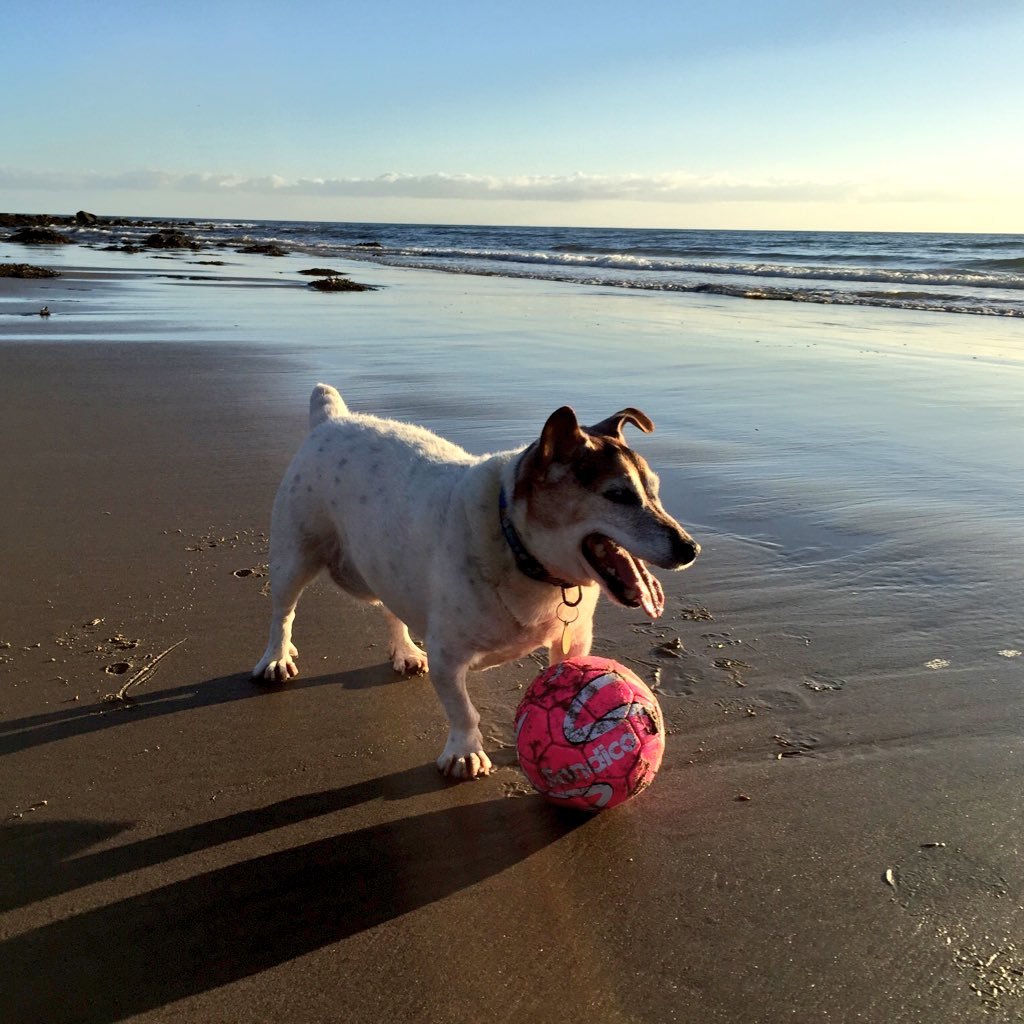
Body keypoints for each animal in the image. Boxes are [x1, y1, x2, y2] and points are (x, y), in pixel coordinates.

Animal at [249, 385, 696, 774]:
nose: (690, 549)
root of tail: (333, 418)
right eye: (618, 495)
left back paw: (405, 651)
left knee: (391, 610)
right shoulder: (448, 656)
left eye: (655, 491)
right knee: (282, 612)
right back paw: (276, 658)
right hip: (294, 555)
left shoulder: (573, 643)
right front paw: (465, 752)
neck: (519, 549)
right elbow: (463, 710)